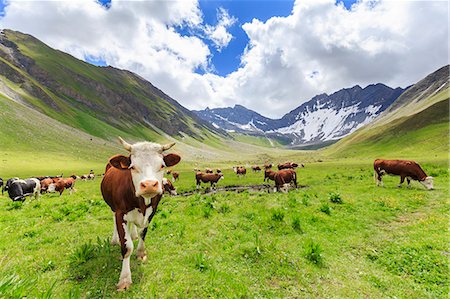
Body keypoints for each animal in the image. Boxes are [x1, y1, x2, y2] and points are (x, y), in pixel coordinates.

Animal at [101, 138, 180, 290]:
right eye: (132, 167)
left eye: (162, 165)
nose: (149, 185)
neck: (142, 203)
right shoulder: (120, 213)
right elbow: (127, 247)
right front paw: (124, 279)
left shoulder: (151, 212)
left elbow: (143, 233)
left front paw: (141, 253)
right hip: (112, 208)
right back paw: (115, 240)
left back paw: (133, 235)